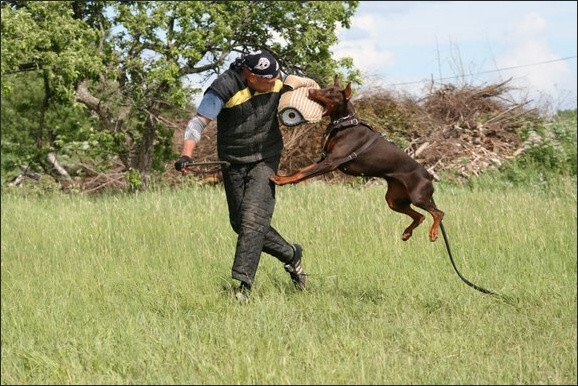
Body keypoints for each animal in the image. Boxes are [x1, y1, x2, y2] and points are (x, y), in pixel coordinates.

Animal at [268, 75, 440, 243]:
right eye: (326, 88)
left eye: (331, 92)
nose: (310, 91)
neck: (344, 125)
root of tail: (428, 175)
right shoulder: (323, 159)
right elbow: (301, 170)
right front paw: (282, 177)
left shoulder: (330, 162)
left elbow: (301, 173)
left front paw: (281, 180)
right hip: (394, 199)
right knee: (420, 216)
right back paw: (406, 233)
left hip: (418, 196)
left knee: (438, 213)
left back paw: (433, 233)